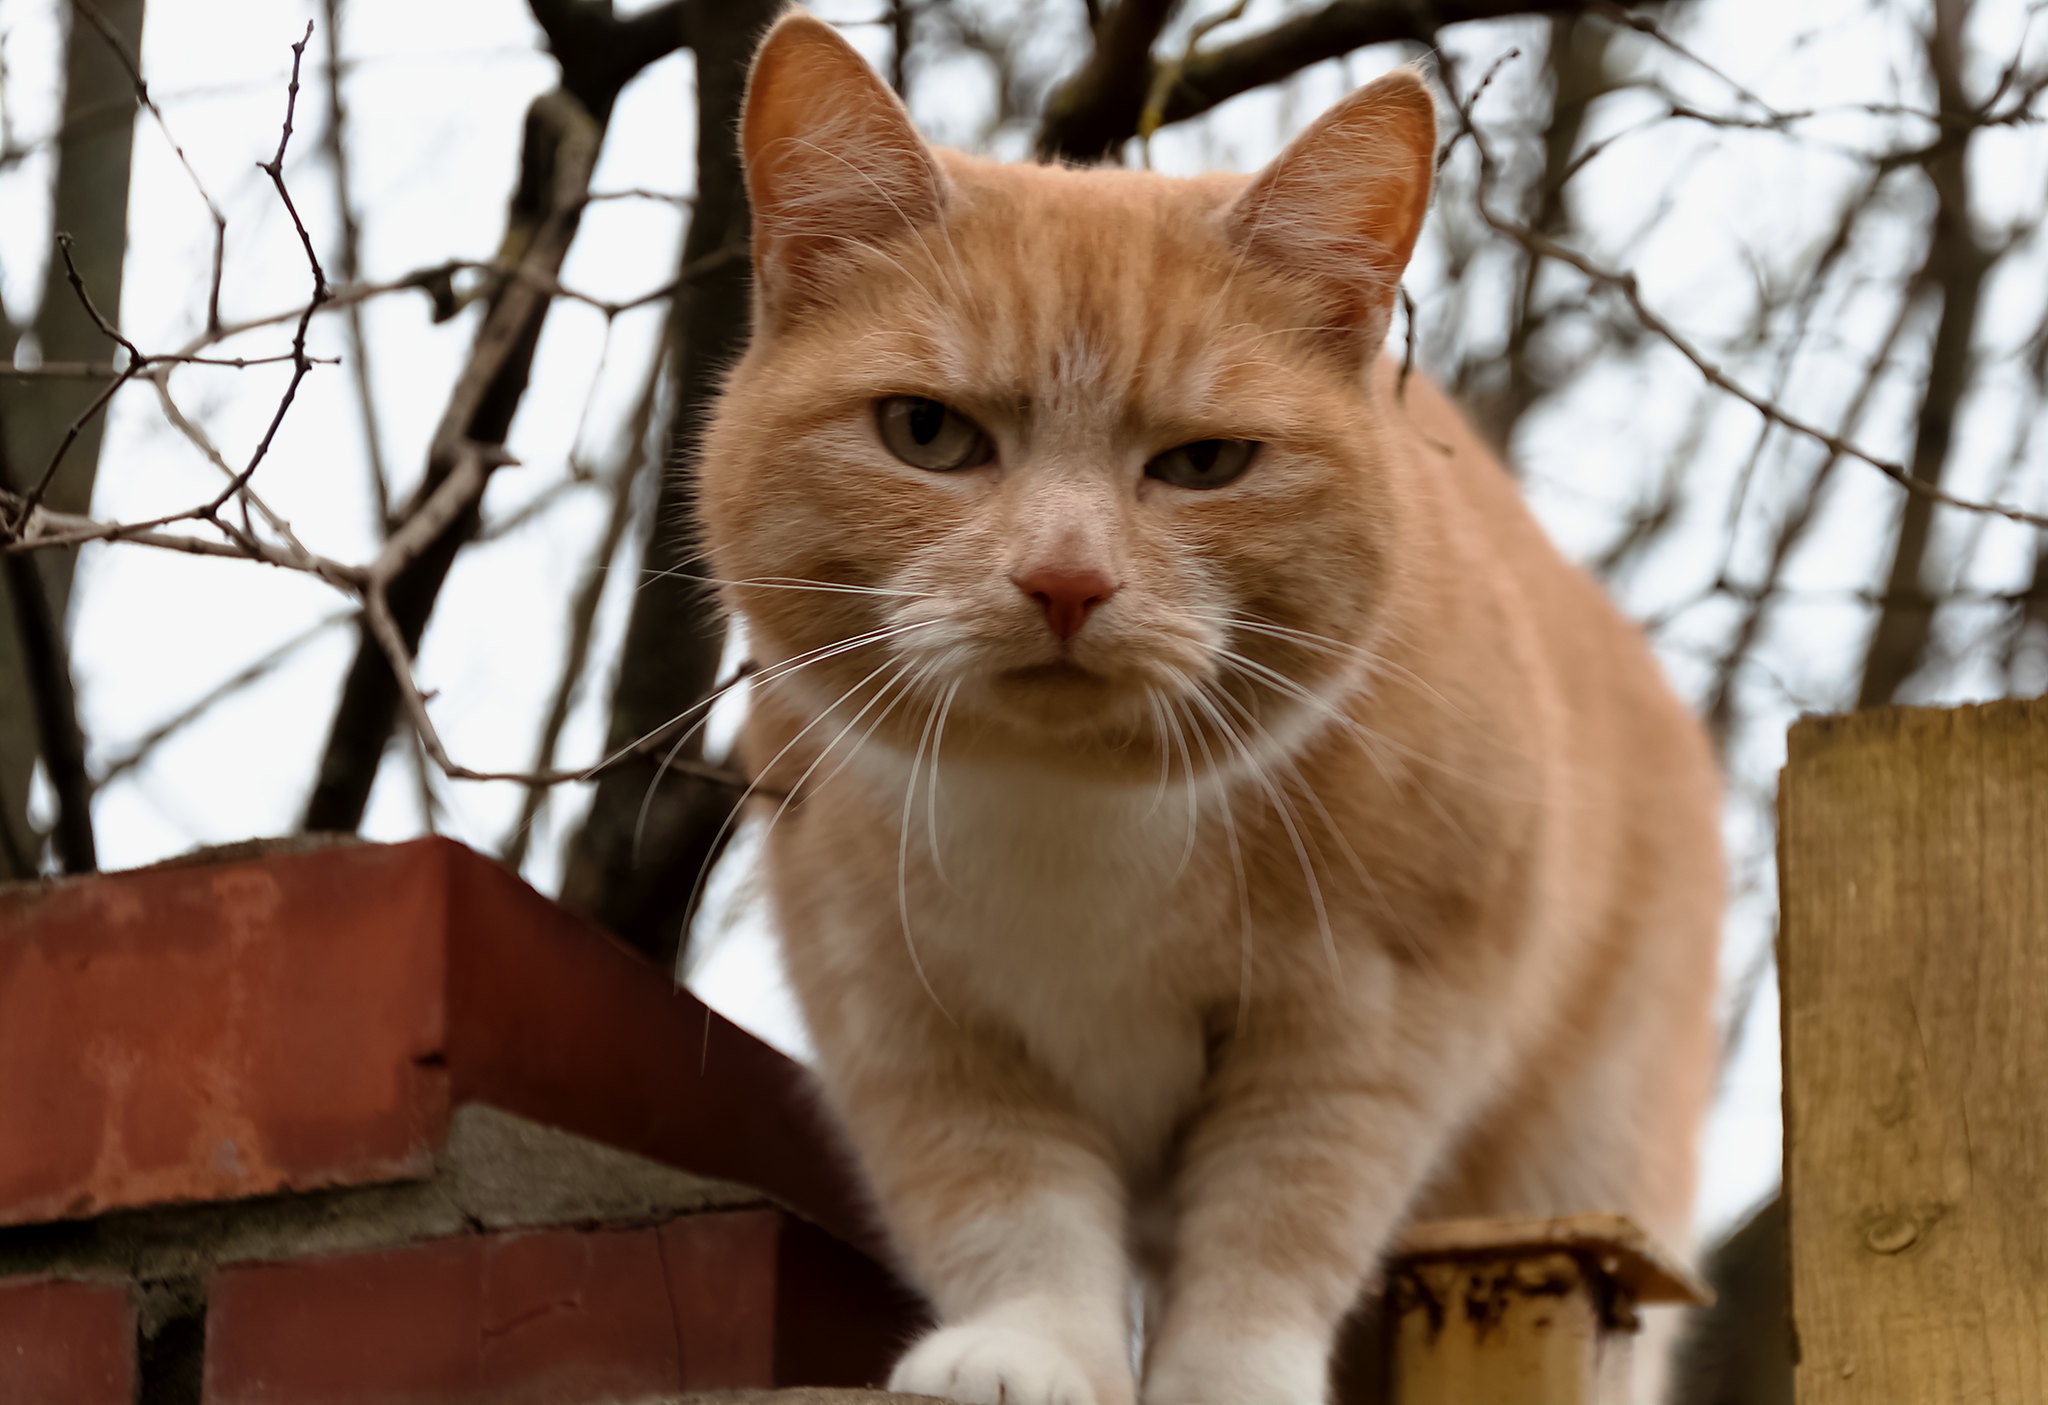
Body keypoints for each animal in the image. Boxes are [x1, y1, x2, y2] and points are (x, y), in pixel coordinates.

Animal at [696, 13, 1720, 1405]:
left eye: (1202, 463)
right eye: (926, 433)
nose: (1065, 580)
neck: (1072, 818)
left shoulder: (1371, 1020)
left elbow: (1279, 1217)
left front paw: (1227, 1374)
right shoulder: (905, 1011)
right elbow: (1005, 1196)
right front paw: (1027, 1348)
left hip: (1584, 1148)